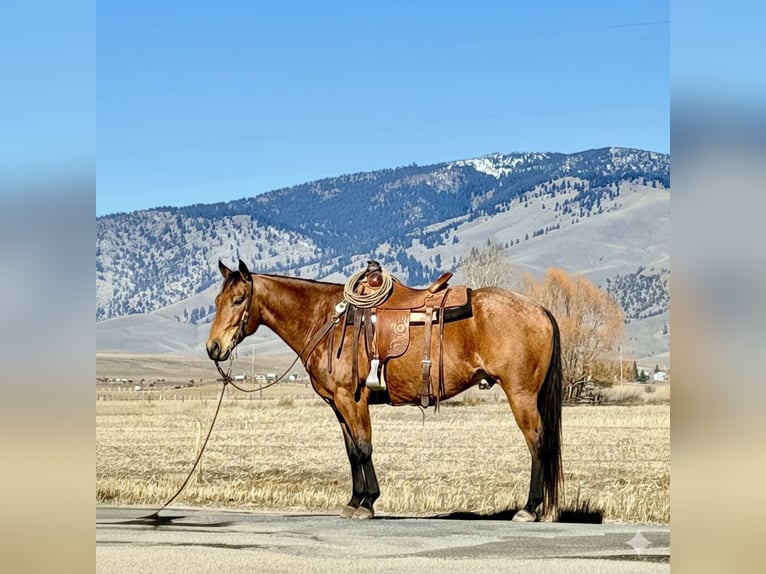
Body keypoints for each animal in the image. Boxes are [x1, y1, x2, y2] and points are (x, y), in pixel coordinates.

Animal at [206, 259, 562, 522]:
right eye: (217, 301)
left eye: (238, 300)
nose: (214, 347)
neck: (327, 320)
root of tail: (540, 310)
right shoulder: (337, 405)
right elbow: (352, 452)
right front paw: (354, 501)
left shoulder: (352, 399)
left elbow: (364, 447)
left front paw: (368, 503)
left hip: (521, 395)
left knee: (537, 444)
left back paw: (529, 509)